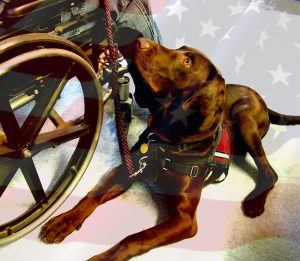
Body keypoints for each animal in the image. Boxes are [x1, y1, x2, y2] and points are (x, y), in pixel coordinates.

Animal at [40, 37, 300, 258]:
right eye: (179, 49)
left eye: (187, 61)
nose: (139, 41)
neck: (167, 142)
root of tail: (259, 96)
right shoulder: (128, 169)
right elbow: (92, 196)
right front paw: (65, 220)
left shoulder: (185, 219)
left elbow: (134, 238)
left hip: (244, 114)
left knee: (270, 172)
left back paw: (255, 203)